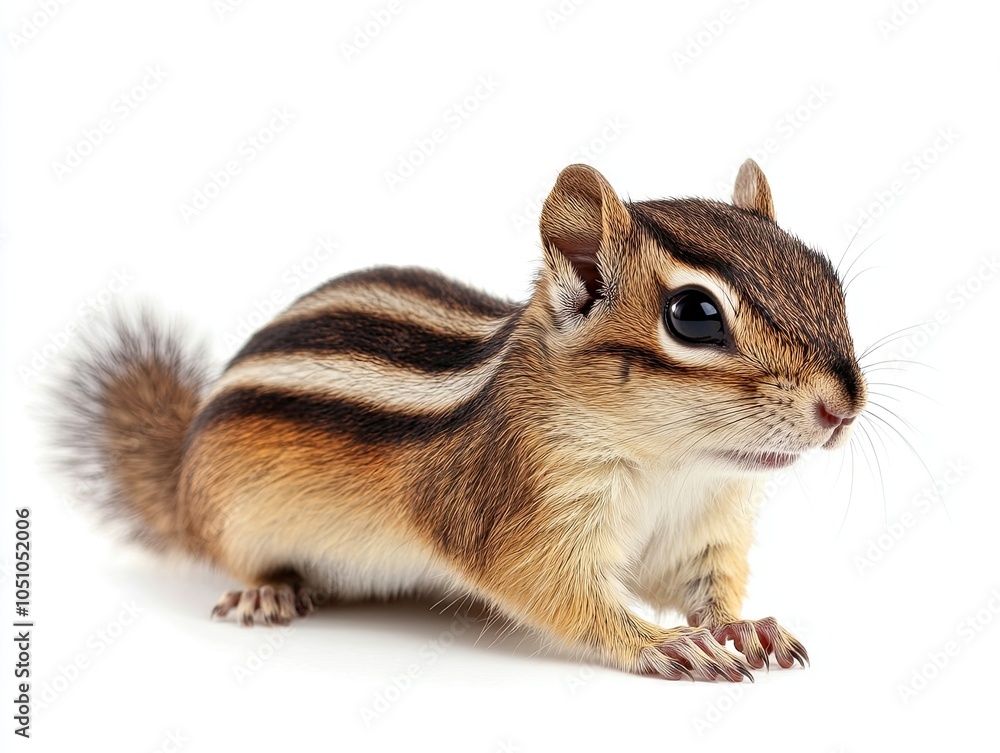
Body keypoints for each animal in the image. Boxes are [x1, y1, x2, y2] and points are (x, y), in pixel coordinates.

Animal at [51, 159, 866, 682]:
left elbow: (703, 584)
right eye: (694, 315)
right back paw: (266, 590)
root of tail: (179, 477)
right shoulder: (519, 514)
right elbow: (557, 594)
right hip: (231, 518)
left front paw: (740, 626)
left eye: (825, 274)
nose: (844, 407)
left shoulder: (703, 528)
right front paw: (659, 643)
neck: (677, 463)